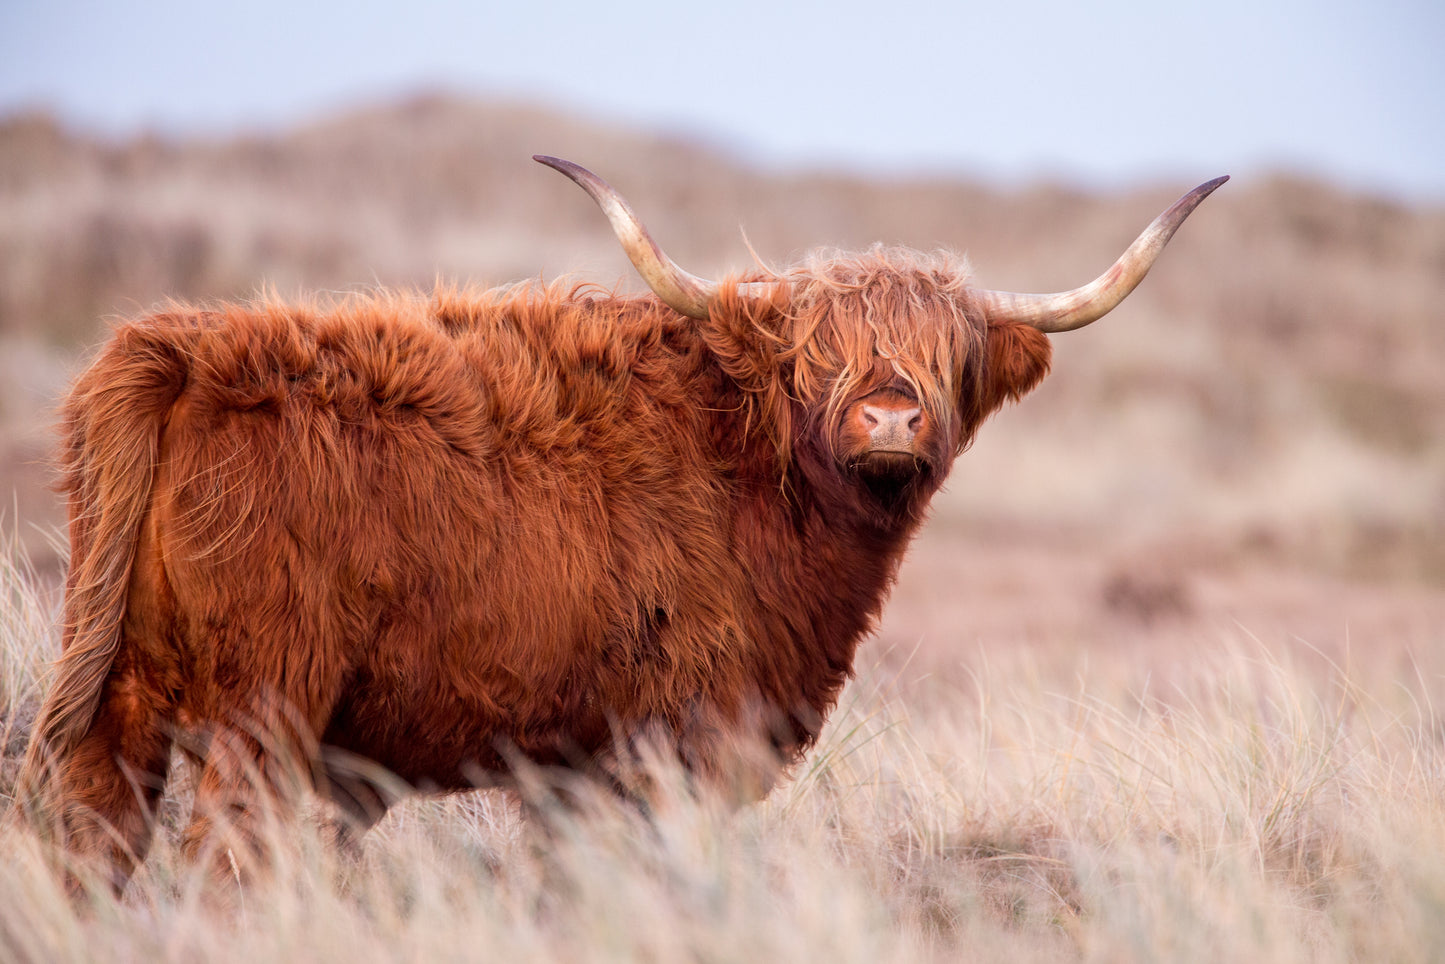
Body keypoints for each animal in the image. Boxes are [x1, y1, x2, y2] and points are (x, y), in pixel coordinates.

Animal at [16, 155, 1225, 888]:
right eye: (815, 356)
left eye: (947, 356)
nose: (888, 416)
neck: (752, 474)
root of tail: (176, 344)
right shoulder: (669, 746)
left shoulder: (572, 769)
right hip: (263, 710)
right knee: (221, 873)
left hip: (121, 699)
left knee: (93, 854)